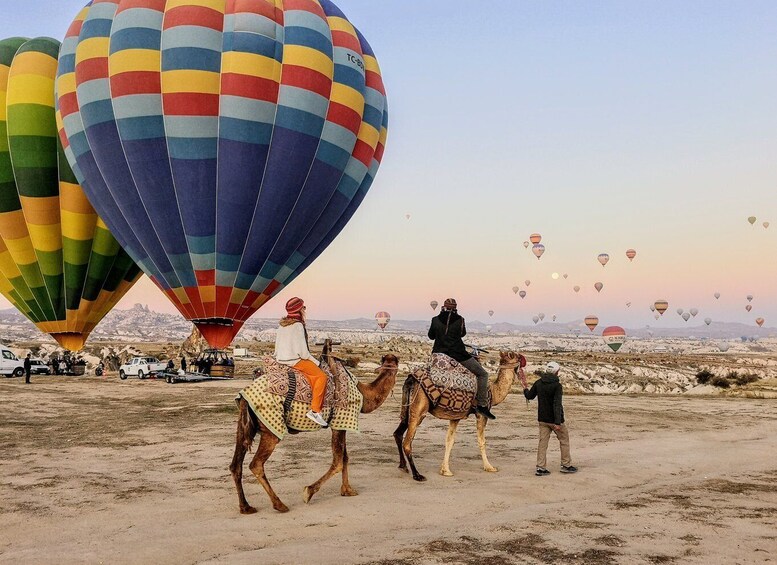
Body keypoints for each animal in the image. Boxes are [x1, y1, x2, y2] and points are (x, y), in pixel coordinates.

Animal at [229, 340, 400, 516]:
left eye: (392, 361)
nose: (391, 361)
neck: (363, 394)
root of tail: (245, 395)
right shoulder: (340, 422)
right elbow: (338, 462)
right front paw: (308, 492)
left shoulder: (341, 424)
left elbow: (345, 458)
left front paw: (347, 490)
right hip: (271, 428)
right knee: (256, 464)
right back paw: (279, 504)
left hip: (245, 426)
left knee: (235, 465)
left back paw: (245, 506)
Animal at [394, 350, 520, 478]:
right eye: (517, 356)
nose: (521, 361)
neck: (493, 391)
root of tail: (411, 380)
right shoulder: (481, 414)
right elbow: (482, 441)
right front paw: (489, 467)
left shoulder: (455, 416)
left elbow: (450, 440)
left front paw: (445, 470)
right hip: (419, 409)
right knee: (407, 442)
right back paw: (417, 475)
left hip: (407, 409)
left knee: (398, 433)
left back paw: (403, 466)